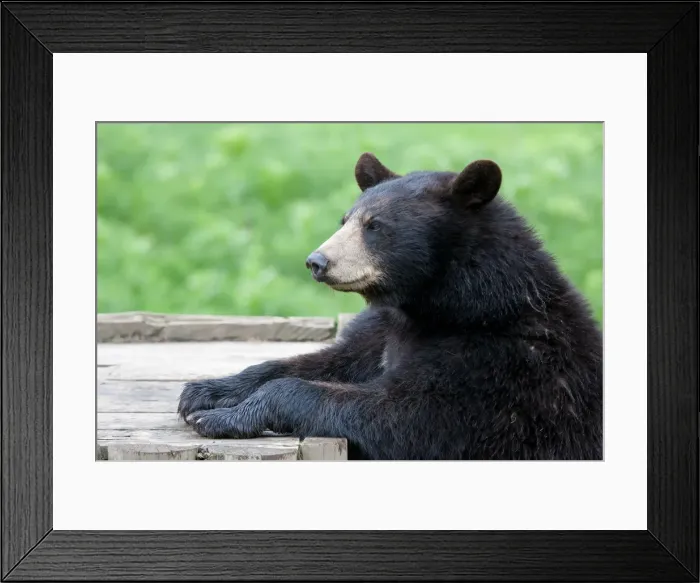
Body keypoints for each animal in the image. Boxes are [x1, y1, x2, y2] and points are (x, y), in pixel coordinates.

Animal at [177, 153, 603, 461]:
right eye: (345, 219)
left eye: (375, 225)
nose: (317, 261)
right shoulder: (381, 331)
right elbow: (330, 360)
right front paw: (207, 391)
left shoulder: (502, 366)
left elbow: (410, 417)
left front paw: (220, 417)